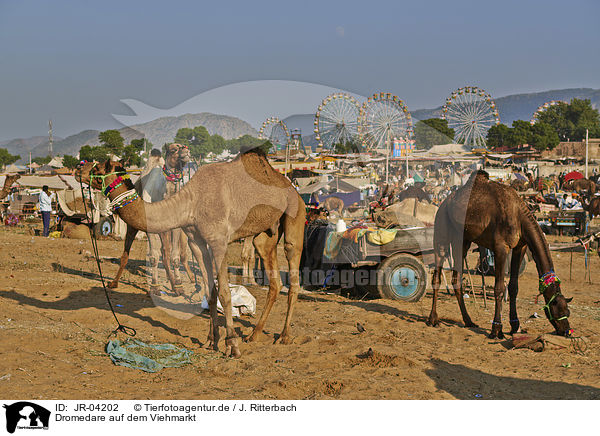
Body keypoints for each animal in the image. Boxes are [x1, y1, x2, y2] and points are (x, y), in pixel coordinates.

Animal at [108, 145, 192, 294]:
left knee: (165, 253)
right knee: (126, 254)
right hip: (134, 226)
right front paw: (155, 286)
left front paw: (179, 285)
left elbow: (174, 257)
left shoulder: (175, 227)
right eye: (173, 149)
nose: (186, 151)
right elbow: (153, 256)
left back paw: (172, 283)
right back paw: (114, 283)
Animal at [426, 169, 572, 338]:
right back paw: (433, 319)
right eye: (558, 311)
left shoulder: (520, 247)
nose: (566, 331)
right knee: (437, 271)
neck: (519, 216)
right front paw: (496, 329)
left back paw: (469, 321)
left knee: (457, 277)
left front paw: (515, 326)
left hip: (463, 239)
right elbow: (499, 288)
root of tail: (443, 202)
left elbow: (514, 287)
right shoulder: (500, 247)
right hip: (441, 226)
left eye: (568, 312)